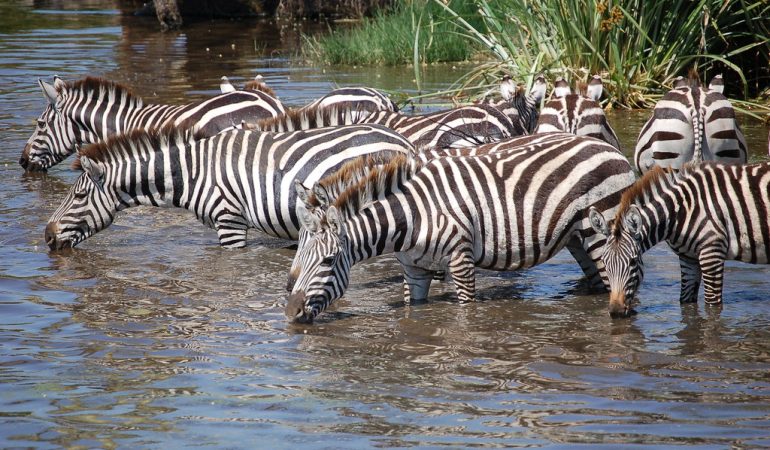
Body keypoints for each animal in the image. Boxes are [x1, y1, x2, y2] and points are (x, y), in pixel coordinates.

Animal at [285, 132, 636, 323]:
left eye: (328, 261)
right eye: (300, 240)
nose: (290, 311)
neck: (413, 214)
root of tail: (612, 150)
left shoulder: (461, 261)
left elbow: (465, 313)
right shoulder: (414, 269)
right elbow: (414, 310)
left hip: (600, 235)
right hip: (577, 237)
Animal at [589, 162, 770, 318]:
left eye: (633, 262)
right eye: (604, 262)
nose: (616, 311)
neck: (680, 213)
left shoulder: (712, 254)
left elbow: (713, 307)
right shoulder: (688, 258)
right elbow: (686, 302)